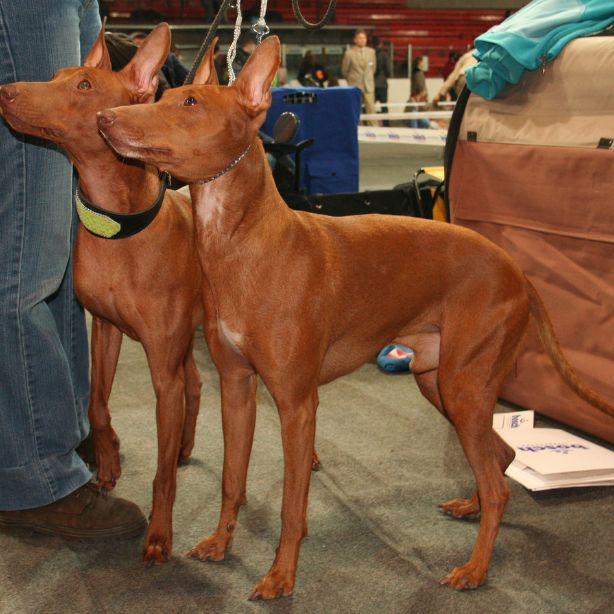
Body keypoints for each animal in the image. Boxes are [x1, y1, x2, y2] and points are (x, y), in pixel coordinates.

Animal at [0, 24, 219, 564]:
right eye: (56, 74)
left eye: (83, 85)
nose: (6, 91)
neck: (119, 229)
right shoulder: (105, 330)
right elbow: (97, 404)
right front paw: (106, 463)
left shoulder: (162, 370)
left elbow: (160, 476)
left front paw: (159, 534)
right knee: (195, 383)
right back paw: (183, 445)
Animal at [96, 36, 614, 600]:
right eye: (167, 95)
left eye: (189, 102)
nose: (105, 117)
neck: (242, 241)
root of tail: (517, 270)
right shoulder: (236, 388)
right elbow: (232, 479)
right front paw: (220, 542)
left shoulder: (298, 404)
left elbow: (292, 505)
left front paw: (281, 576)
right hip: (441, 382)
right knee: (498, 461)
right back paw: (471, 507)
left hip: (463, 386)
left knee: (499, 485)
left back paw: (475, 569)